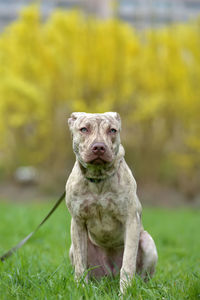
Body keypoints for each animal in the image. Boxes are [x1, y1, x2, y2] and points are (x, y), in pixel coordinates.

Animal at [65, 112, 158, 292]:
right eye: (84, 129)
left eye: (112, 130)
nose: (99, 147)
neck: (98, 178)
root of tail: (110, 276)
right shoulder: (77, 222)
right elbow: (80, 264)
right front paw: (81, 289)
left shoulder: (131, 220)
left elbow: (128, 264)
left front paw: (125, 292)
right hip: (74, 249)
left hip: (148, 242)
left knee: (142, 275)